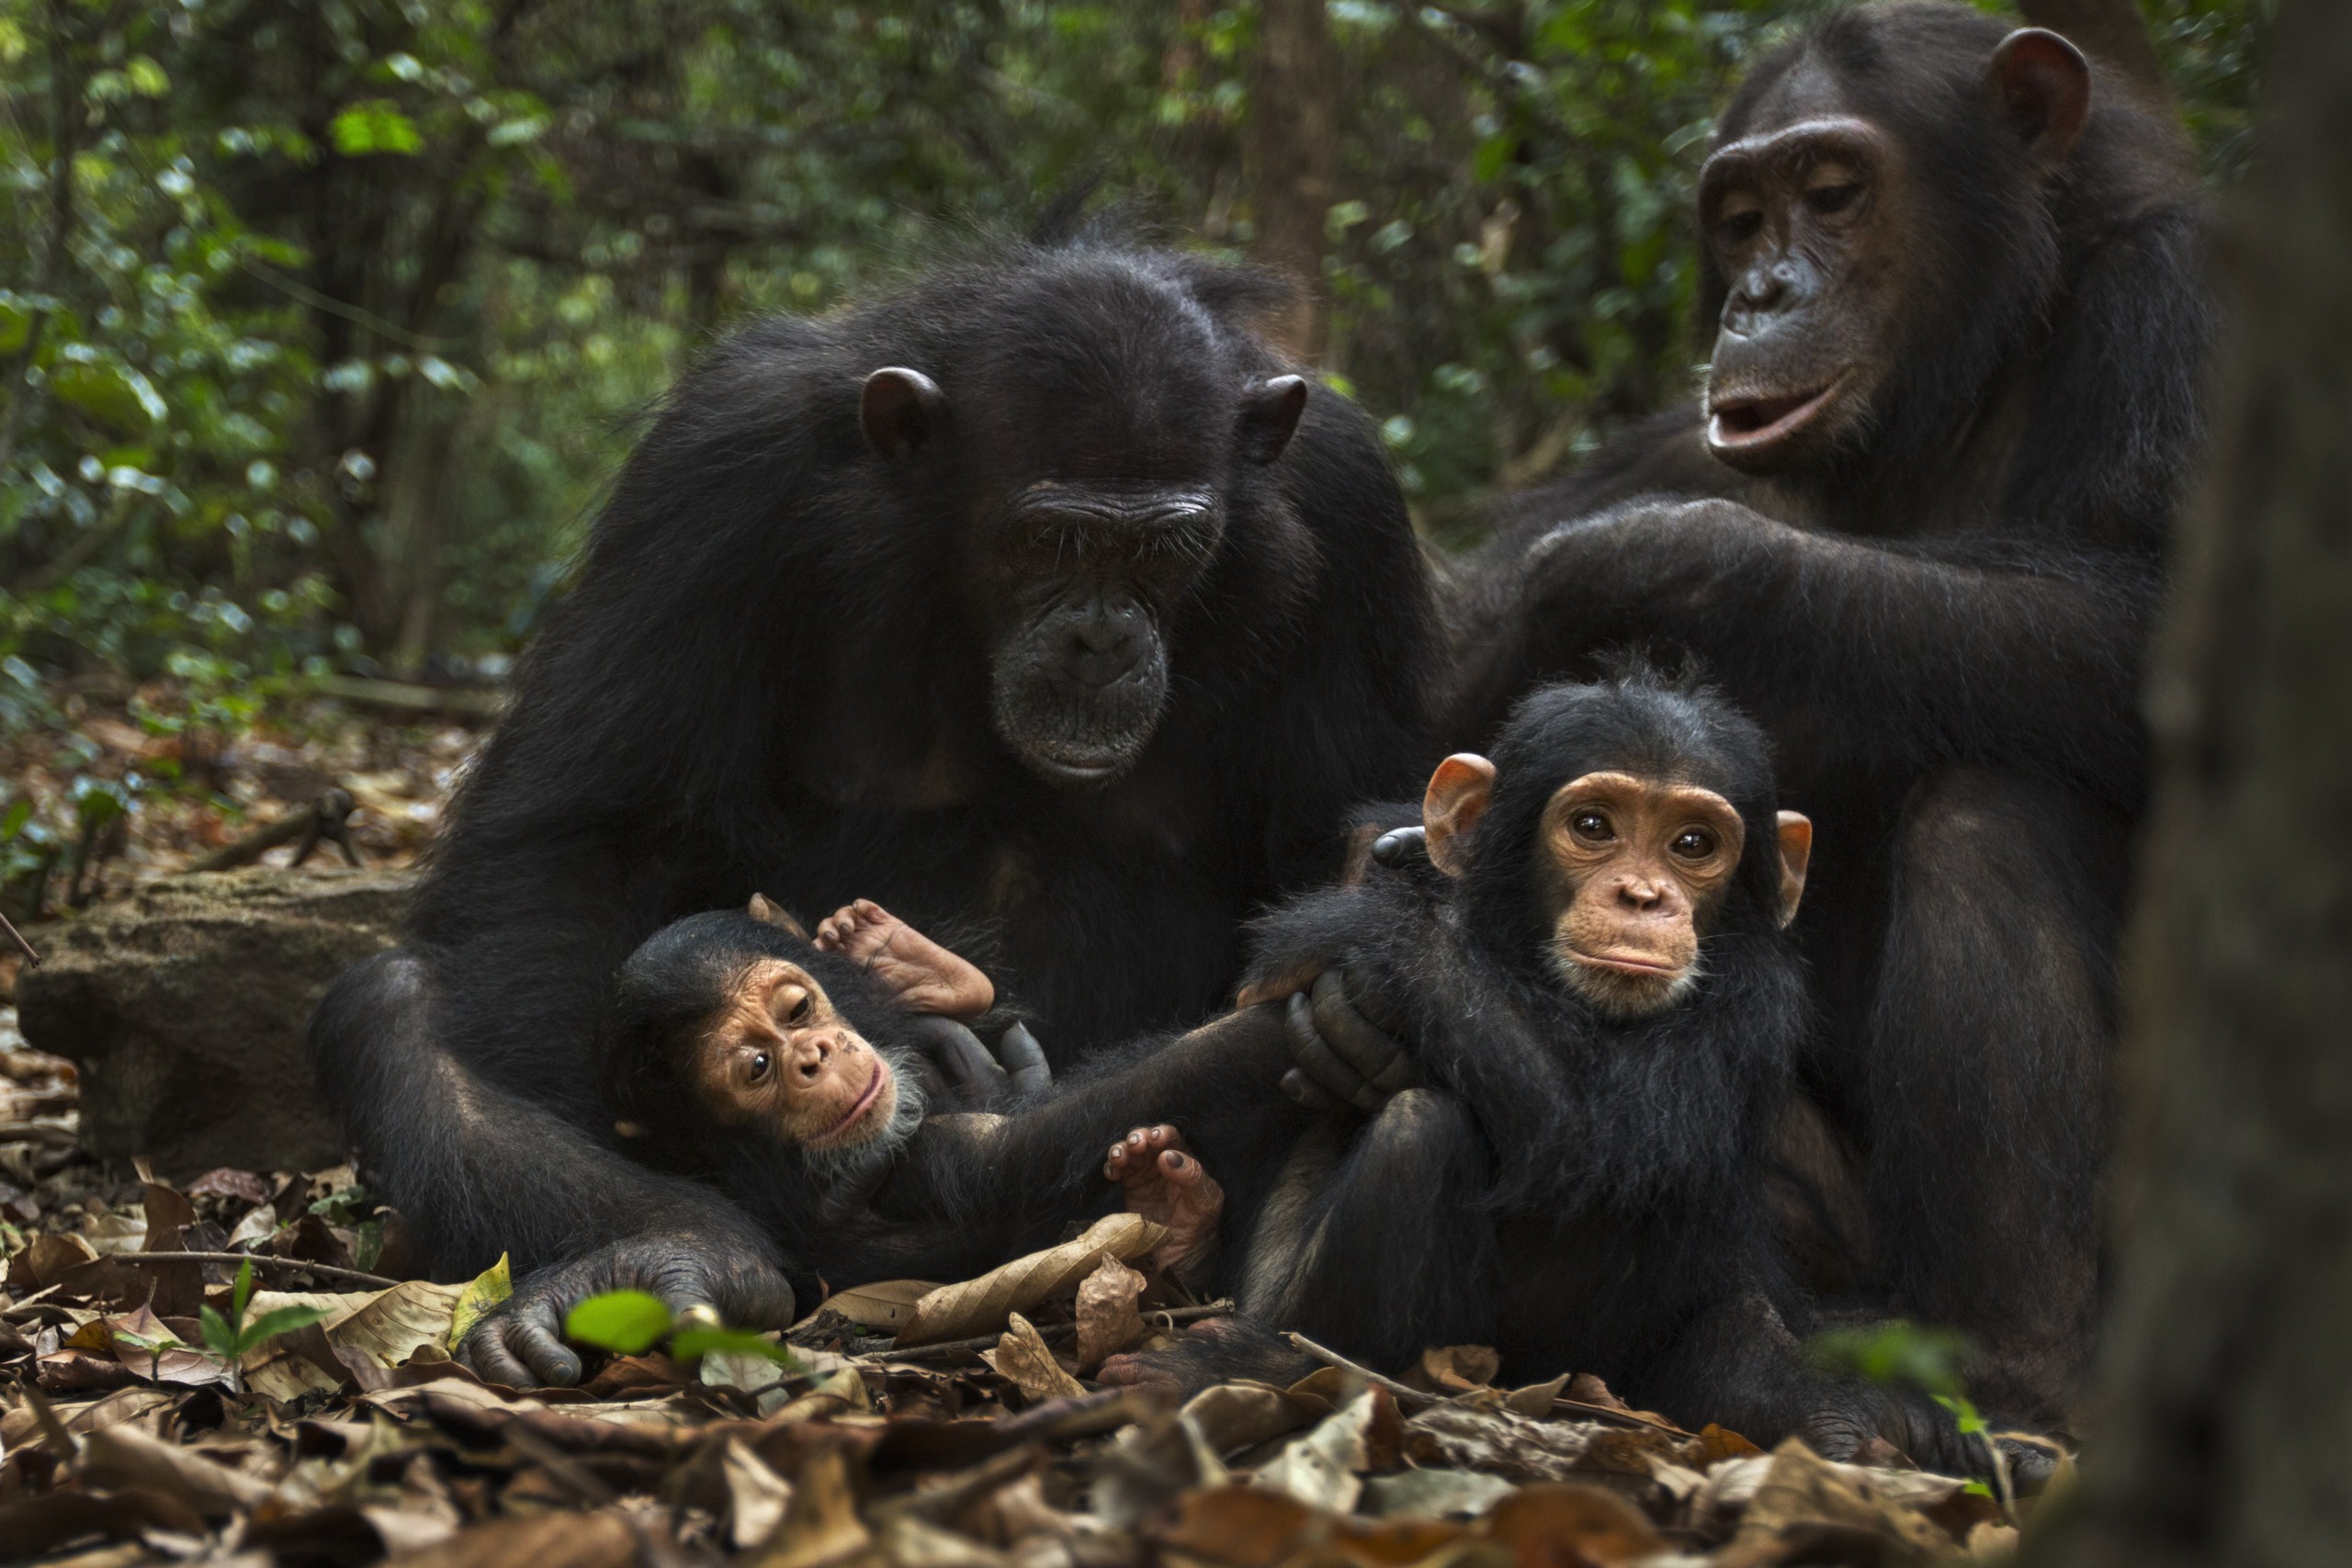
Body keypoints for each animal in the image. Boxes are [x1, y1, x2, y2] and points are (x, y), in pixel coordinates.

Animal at [310, 236, 1430, 1382]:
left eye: (1166, 551)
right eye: (1049, 542)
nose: (1102, 640)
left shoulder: (1350, 504)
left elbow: (1347, 819)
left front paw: (1372, 958)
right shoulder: (718, 463)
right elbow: (590, 834)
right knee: (396, 1002)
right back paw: (673, 1252)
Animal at [1298, 3, 2211, 1438]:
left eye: (1832, 194)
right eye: (1738, 217)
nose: (1761, 294)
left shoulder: (2180, 301)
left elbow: (2169, 624)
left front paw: (1638, 560)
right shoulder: (1676, 431)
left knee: (1992, 805)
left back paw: (2013, 1375)